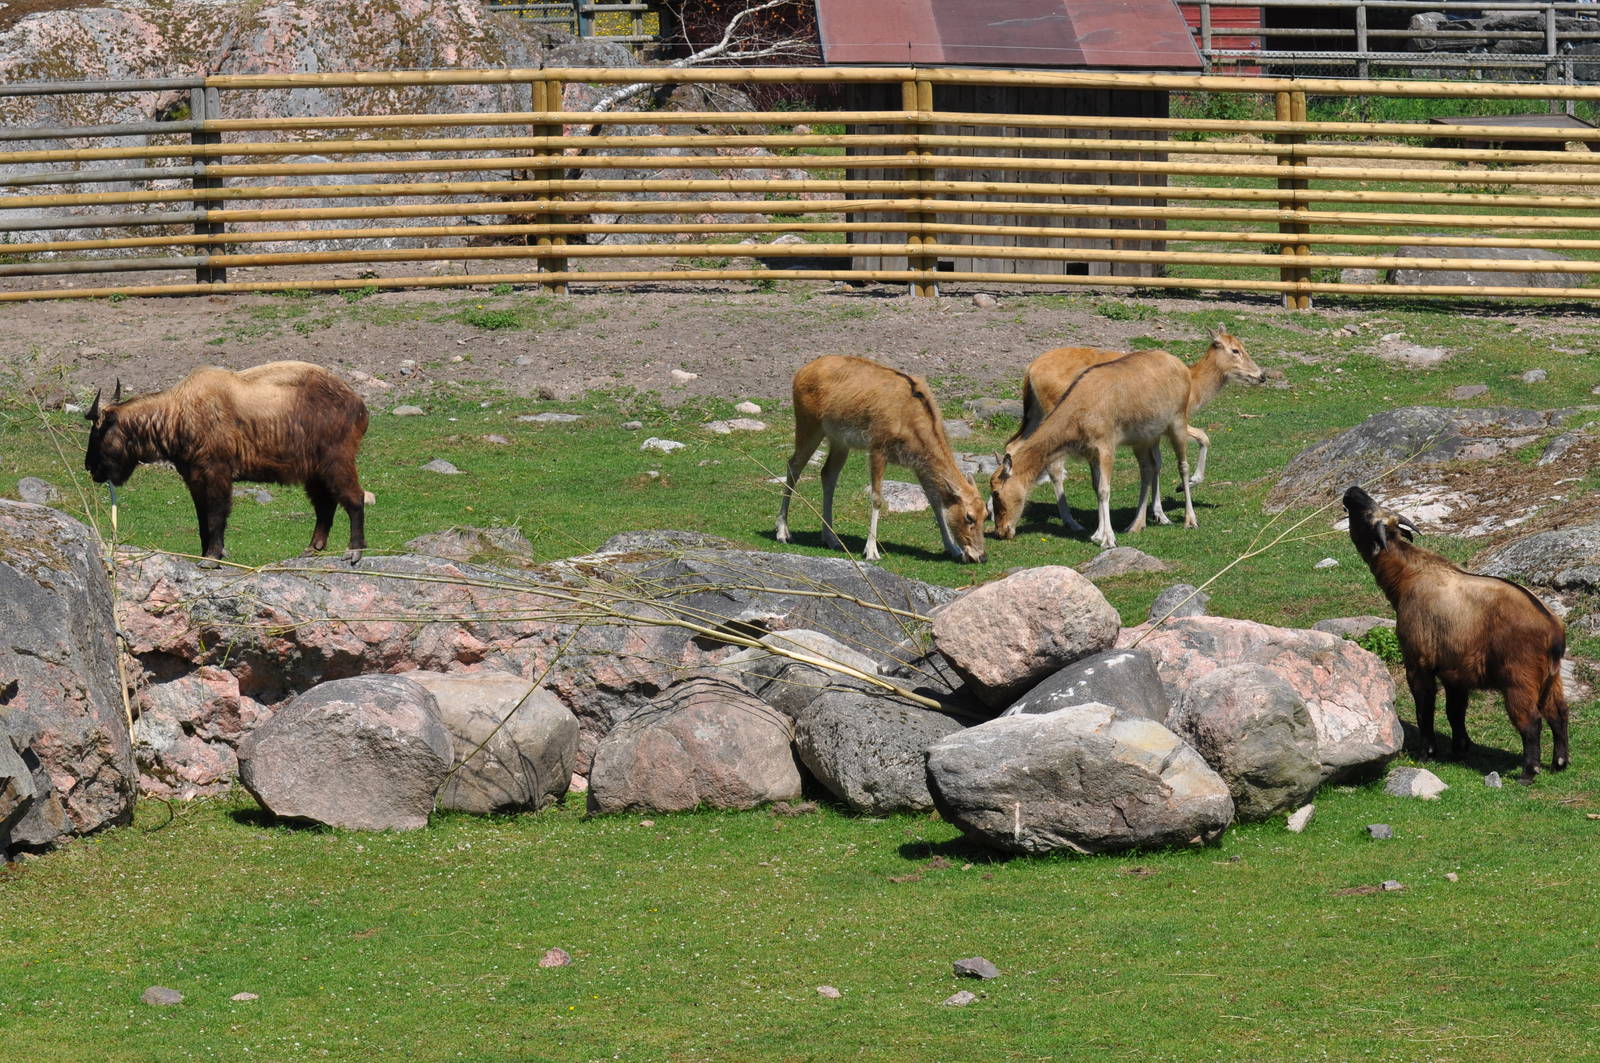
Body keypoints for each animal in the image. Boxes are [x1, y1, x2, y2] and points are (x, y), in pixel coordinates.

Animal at [775, 355, 988, 564]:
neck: (910, 420)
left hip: (839, 440)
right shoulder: (878, 447)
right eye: (969, 517)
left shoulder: (918, 462)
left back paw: (831, 538)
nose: (981, 556)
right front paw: (871, 551)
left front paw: (952, 549)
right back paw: (783, 532)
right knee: (793, 466)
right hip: (808, 424)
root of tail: (801, 371)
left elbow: (935, 500)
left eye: (986, 514)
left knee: (827, 474)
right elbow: (877, 498)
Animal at [989, 348, 1195, 549]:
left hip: (1178, 421)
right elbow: (1096, 486)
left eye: (996, 492)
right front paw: (1097, 534)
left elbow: (1104, 489)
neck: (1079, 416)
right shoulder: (1091, 451)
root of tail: (1183, 367)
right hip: (1144, 438)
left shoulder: (1106, 445)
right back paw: (1136, 524)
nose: (1001, 532)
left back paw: (1189, 520)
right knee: (1148, 468)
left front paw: (1108, 540)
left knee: (1183, 465)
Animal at [1006, 327, 1265, 532]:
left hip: (1035, 415)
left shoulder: (1153, 432)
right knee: (1053, 463)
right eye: (1235, 350)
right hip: (1053, 416)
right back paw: (1072, 522)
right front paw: (1185, 486)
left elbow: (1157, 463)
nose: (1261, 375)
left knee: (1014, 444)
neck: (1194, 385)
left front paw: (1158, 513)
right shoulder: (1174, 421)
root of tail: (1030, 369)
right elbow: (1203, 437)